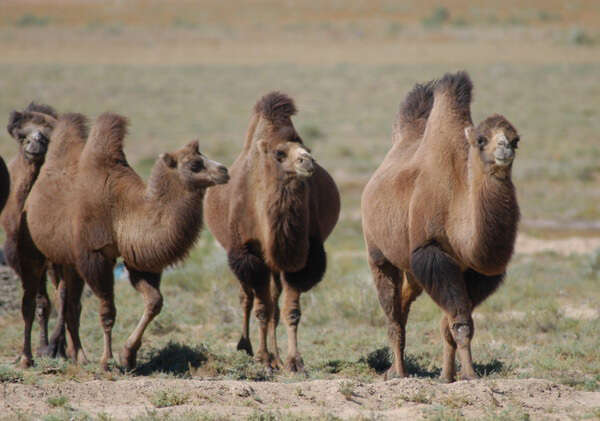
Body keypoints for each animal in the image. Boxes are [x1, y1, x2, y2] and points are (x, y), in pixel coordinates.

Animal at [25, 111, 230, 368]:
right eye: (194, 164)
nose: (224, 170)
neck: (123, 210)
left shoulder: (136, 257)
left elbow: (154, 301)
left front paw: (128, 355)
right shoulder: (95, 255)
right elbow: (108, 312)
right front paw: (107, 359)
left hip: (70, 260)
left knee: (71, 302)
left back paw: (78, 356)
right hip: (50, 255)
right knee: (63, 298)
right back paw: (66, 354)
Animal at [204, 92, 340, 370]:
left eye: (307, 149)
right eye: (280, 152)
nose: (308, 161)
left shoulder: (302, 257)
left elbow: (290, 311)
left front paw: (293, 361)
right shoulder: (248, 254)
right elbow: (261, 309)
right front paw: (262, 358)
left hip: (277, 265)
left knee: (274, 302)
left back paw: (277, 356)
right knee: (247, 297)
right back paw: (246, 346)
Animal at [360, 72, 520, 380]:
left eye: (516, 139)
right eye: (481, 139)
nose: (504, 148)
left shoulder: (476, 271)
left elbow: (451, 325)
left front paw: (448, 376)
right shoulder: (431, 253)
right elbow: (461, 323)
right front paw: (469, 375)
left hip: (411, 269)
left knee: (404, 304)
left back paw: (394, 368)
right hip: (379, 253)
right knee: (392, 313)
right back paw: (399, 373)